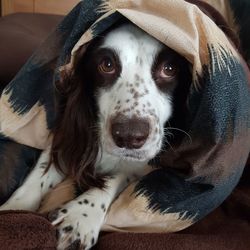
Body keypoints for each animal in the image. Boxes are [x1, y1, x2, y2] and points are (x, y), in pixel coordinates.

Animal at [0, 23, 191, 248]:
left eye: (169, 69)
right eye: (107, 64)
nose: (128, 136)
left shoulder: (147, 162)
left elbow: (117, 175)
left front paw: (80, 216)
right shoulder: (66, 136)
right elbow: (39, 175)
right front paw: (13, 212)